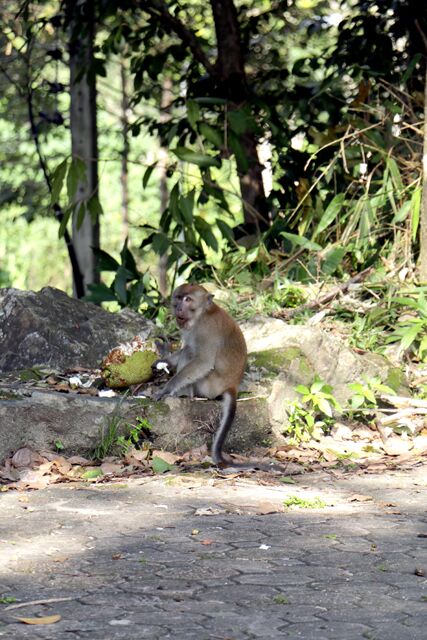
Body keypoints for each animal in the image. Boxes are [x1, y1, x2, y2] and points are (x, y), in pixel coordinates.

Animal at [154, 284, 247, 464]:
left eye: (188, 299)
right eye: (178, 297)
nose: (179, 308)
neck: (203, 314)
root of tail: (232, 385)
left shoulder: (206, 330)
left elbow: (203, 361)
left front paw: (166, 389)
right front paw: (164, 363)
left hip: (209, 386)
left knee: (190, 353)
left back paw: (184, 395)